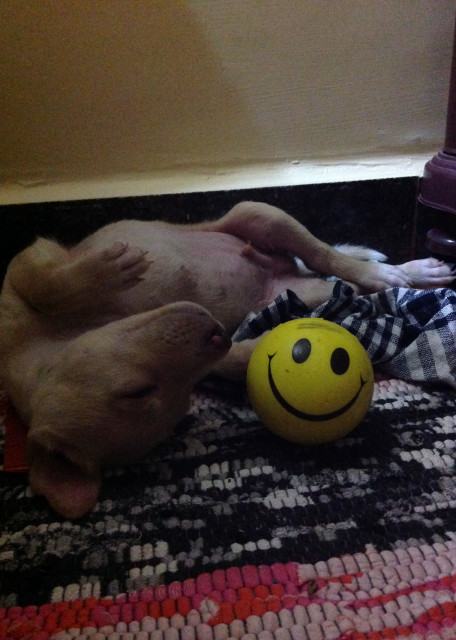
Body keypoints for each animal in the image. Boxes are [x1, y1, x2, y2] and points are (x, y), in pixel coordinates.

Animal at [0, 201, 453, 519]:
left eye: (135, 391)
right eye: (158, 395)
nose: (213, 327)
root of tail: (290, 271)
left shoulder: (36, 258)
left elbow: (41, 281)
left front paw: (108, 269)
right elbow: (231, 359)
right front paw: (258, 346)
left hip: (258, 215)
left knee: (332, 257)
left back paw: (397, 273)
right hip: (303, 288)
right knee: (345, 285)